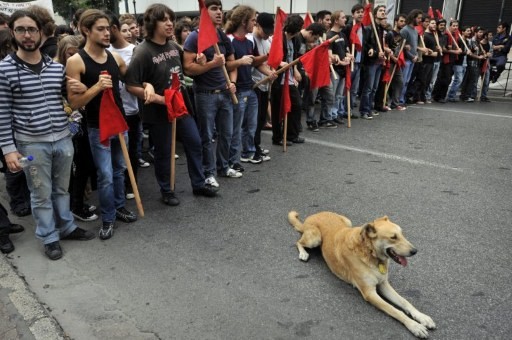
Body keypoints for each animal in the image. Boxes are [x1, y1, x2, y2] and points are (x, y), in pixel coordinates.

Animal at [288, 211, 436, 338]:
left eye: (402, 234)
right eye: (393, 237)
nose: (415, 251)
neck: (370, 253)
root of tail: (314, 215)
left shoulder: (384, 284)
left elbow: (405, 302)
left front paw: (422, 317)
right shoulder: (369, 293)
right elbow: (395, 310)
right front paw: (414, 326)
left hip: (347, 222)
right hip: (315, 238)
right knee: (298, 242)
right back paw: (303, 253)